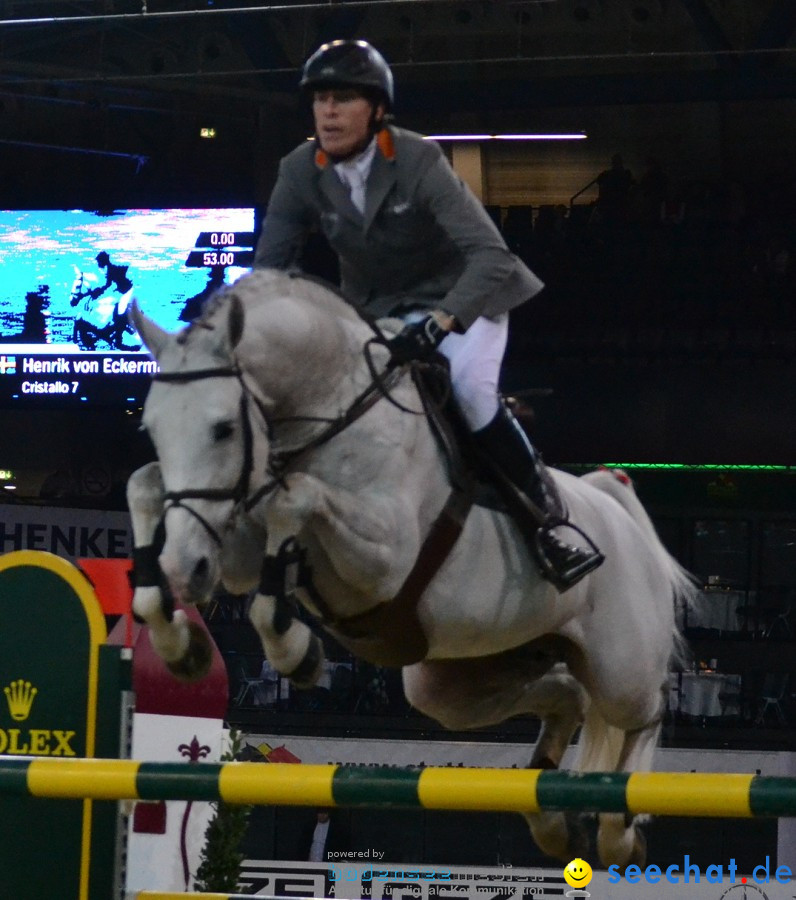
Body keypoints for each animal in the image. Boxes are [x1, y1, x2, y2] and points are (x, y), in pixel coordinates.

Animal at [127, 268, 692, 872]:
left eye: (223, 429)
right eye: (152, 429)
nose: (185, 570)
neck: (329, 407)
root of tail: (620, 511)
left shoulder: (384, 556)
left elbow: (294, 498)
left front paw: (292, 649)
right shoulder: (231, 545)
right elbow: (148, 485)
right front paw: (181, 638)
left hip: (620, 668)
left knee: (644, 713)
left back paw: (617, 831)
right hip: (454, 682)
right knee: (565, 696)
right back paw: (552, 826)